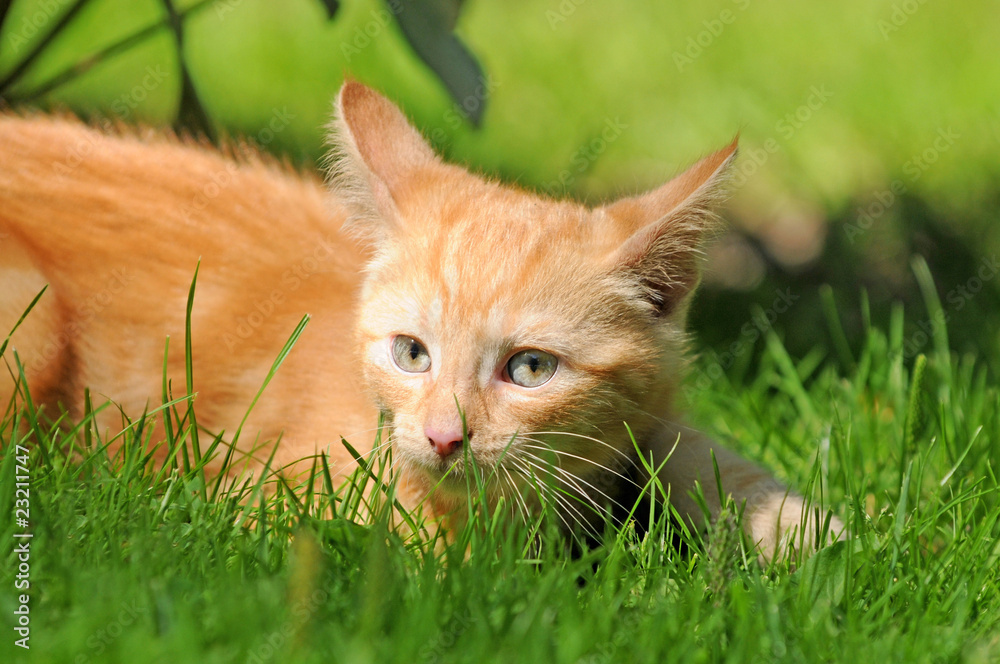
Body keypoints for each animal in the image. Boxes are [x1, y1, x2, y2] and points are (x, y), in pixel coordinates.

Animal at [1, 80, 844, 556]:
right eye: (412, 353)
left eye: (530, 368)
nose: (444, 438)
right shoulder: (274, 492)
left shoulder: (652, 420)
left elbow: (695, 452)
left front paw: (810, 540)